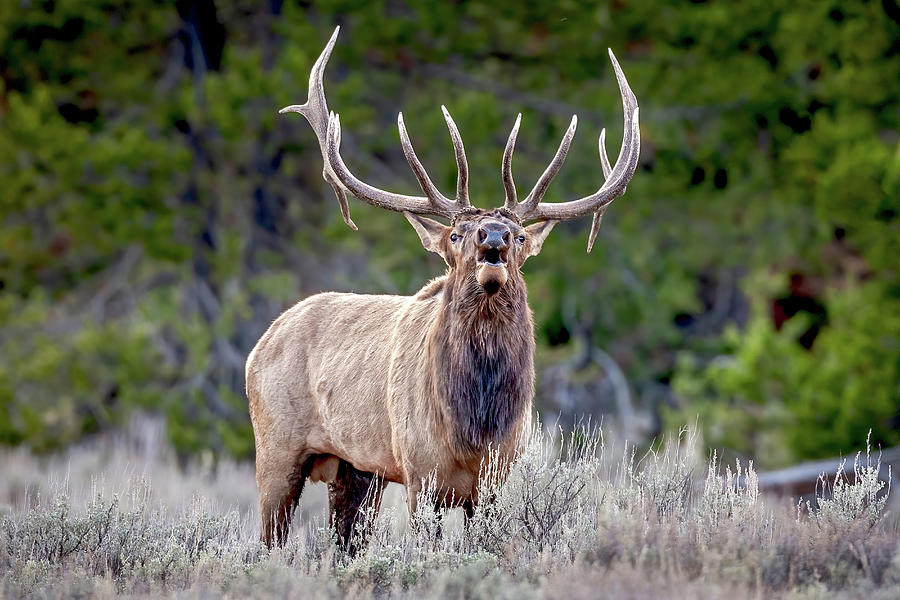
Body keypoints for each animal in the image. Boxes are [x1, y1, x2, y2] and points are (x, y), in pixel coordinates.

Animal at [246, 29, 640, 552]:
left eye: (519, 236)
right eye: (456, 233)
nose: (493, 237)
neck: (474, 427)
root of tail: (261, 343)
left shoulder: (494, 481)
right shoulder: (420, 474)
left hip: (357, 469)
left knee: (344, 544)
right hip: (275, 447)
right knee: (268, 541)